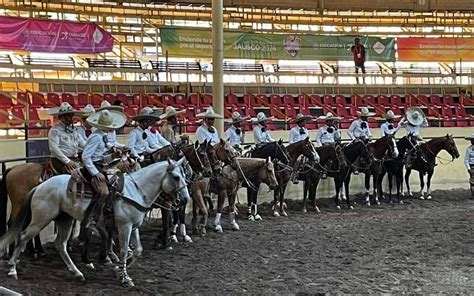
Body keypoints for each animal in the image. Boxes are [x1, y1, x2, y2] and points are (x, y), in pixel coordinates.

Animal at [1, 160, 191, 286]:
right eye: (175, 177)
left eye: (183, 175)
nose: (185, 199)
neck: (134, 191)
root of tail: (40, 186)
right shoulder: (124, 227)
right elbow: (123, 250)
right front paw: (124, 276)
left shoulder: (134, 226)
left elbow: (137, 250)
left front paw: (118, 270)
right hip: (41, 218)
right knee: (23, 236)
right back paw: (12, 268)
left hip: (65, 219)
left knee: (60, 244)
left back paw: (77, 273)